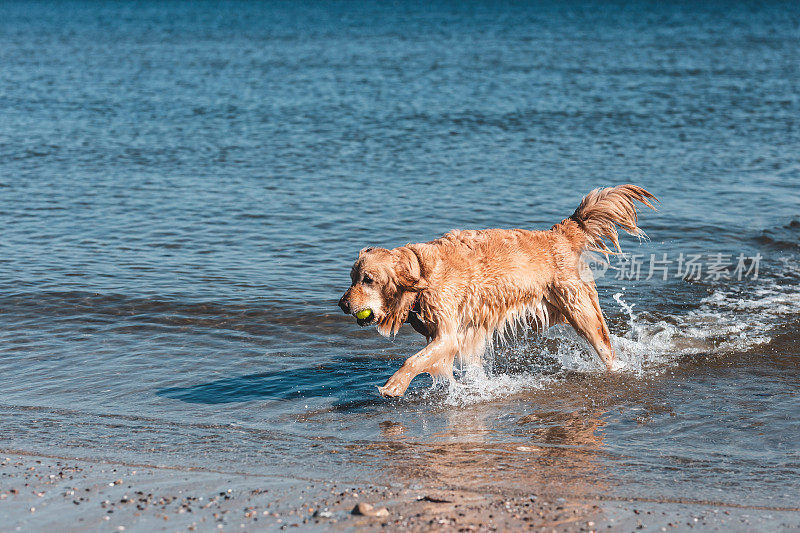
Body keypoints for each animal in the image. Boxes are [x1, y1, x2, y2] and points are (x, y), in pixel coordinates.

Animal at [338, 183, 656, 394]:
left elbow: (415, 359)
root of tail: (560, 232)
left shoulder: (447, 335)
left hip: (580, 309)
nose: (342, 304)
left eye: (368, 279)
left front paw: (394, 385)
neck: (421, 275)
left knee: (605, 347)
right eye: (352, 277)